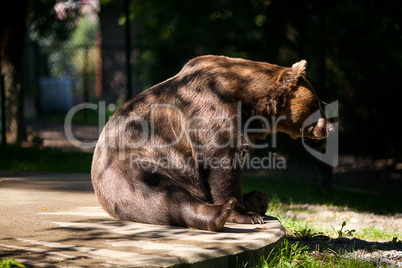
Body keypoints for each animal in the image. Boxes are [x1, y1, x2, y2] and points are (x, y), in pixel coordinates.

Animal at [92, 54, 332, 230]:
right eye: (318, 104)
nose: (329, 127)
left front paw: (249, 204)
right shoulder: (211, 106)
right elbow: (222, 160)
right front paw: (244, 213)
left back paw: (258, 198)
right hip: (136, 169)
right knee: (164, 197)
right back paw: (221, 212)